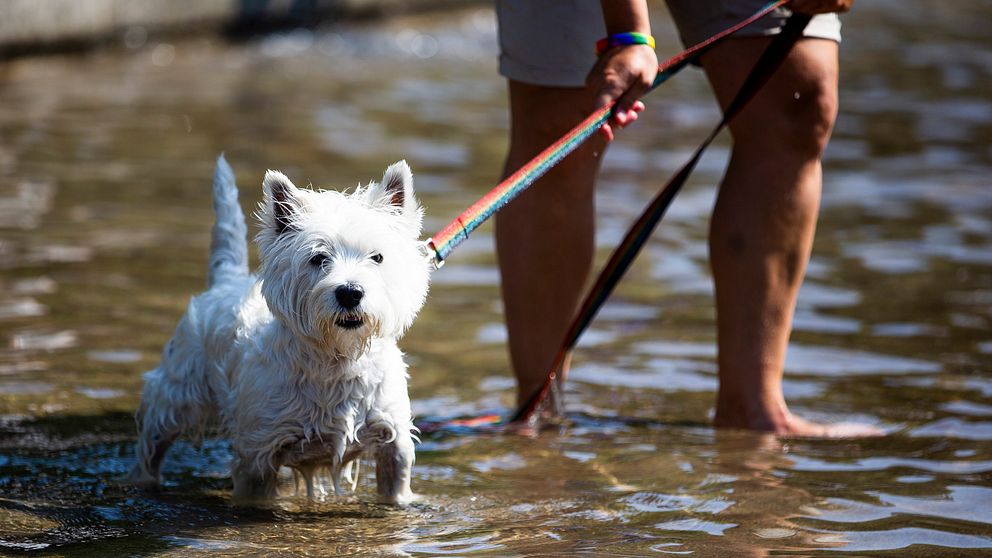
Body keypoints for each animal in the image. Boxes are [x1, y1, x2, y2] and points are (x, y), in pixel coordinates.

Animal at [129, 155, 430, 506]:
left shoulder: (393, 445)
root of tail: (226, 279)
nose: (350, 292)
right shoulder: (258, 453)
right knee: (151, 441)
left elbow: (396, 487)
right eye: (318, 258)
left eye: (378, 257)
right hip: (176, 394)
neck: (337, 361)